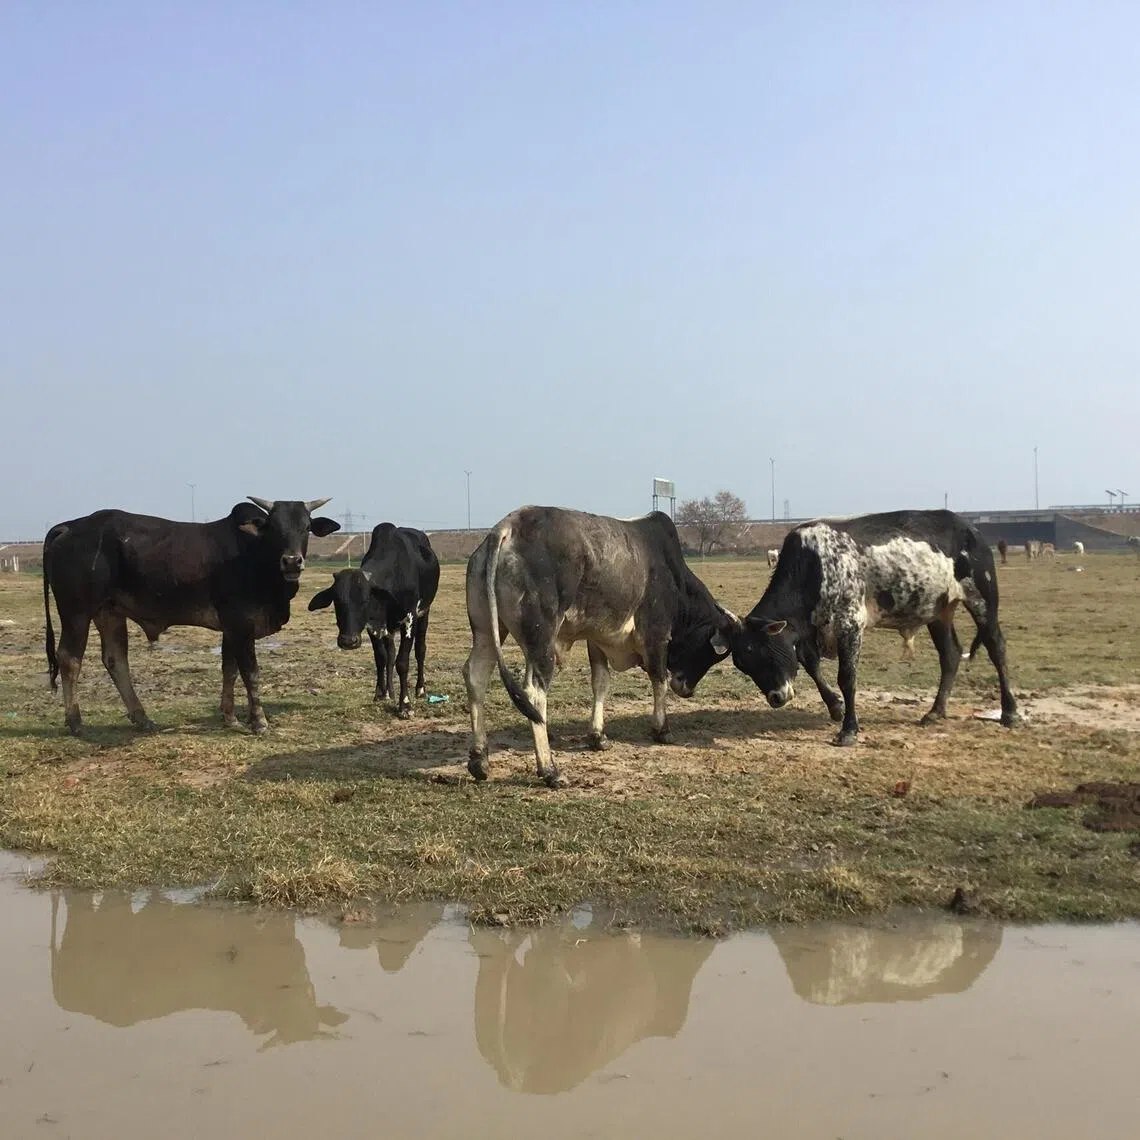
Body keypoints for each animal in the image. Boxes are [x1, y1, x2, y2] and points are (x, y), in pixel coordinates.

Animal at [42, 498, 339, 735]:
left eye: (306, 527)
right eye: (274, 527)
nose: (292, 561)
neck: (254, 554)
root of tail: (69, 527)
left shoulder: (230, 629)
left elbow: (229, 670)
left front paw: (230, 718)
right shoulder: (240, 625)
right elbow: (250, 673)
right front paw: (259, 722)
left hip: (109, 612)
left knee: (115, 660)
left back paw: (142, 718)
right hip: (76, 612)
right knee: (69, 659)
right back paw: (75, 722)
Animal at [308, 523, 440, 716]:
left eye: (365, 600)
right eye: (337, 601)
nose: (348, 641)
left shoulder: (409, 619)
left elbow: (402, 662)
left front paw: (405, 705)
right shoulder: (372, 626)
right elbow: (381, 658)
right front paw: (380, 693)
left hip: (424, 613)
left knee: (420, 650)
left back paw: (420, 689)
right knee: (390, 654)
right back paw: (390, 692)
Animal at [463, 507, 738, 787]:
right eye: (710, 654)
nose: (687, 691)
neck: (673, 575)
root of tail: (508, 527)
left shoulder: (598, 639)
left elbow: (601, 683)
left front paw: (597, 736)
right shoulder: (657, 634)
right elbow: (659, 680)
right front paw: (662, 730)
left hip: (487, 631)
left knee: (476, 675)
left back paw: (480, 760)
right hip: (541, 640)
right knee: (533, 692)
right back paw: (550, 770)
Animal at [728, 509, 1018, 745]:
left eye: (761, 652)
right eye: (744, 663)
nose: (775, 698)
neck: (812, 565)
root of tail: (971, 529)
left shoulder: (850, 623)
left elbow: (847, 677)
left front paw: (848, 730)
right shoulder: (810, 629)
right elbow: (811, 664)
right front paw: (835, 707)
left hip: (982, 599)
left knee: (996, 647)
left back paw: (1010, 712)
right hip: (939, 611)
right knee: (951, 655)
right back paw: (935, 711)